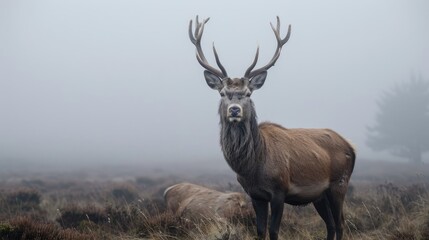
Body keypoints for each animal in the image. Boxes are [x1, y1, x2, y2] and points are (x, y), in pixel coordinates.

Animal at [187, 15, 354, 240]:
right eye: (222, 93)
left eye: (248, 93)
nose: (234, 110)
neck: (253, 166)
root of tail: (351, 146)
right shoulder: (255, 194)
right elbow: (260, 231)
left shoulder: (279, 190)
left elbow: (274, 231)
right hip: (320, 195)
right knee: (331, 225)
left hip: (339, 183)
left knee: (341, 223)